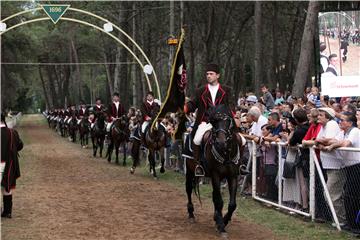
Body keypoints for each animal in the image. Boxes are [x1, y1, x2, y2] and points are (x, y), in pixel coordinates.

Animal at [186, 106, 248, 236]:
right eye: (214, 123)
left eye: (228, 122)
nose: (221, 143)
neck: (226, 154)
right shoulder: (216, 175)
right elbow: (219, 201)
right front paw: (221, 226)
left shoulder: (232, 176)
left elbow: (232, 204)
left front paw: (223, 220)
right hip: (190, 170)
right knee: (188, 189)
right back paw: (191, 214)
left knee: (214, 195)